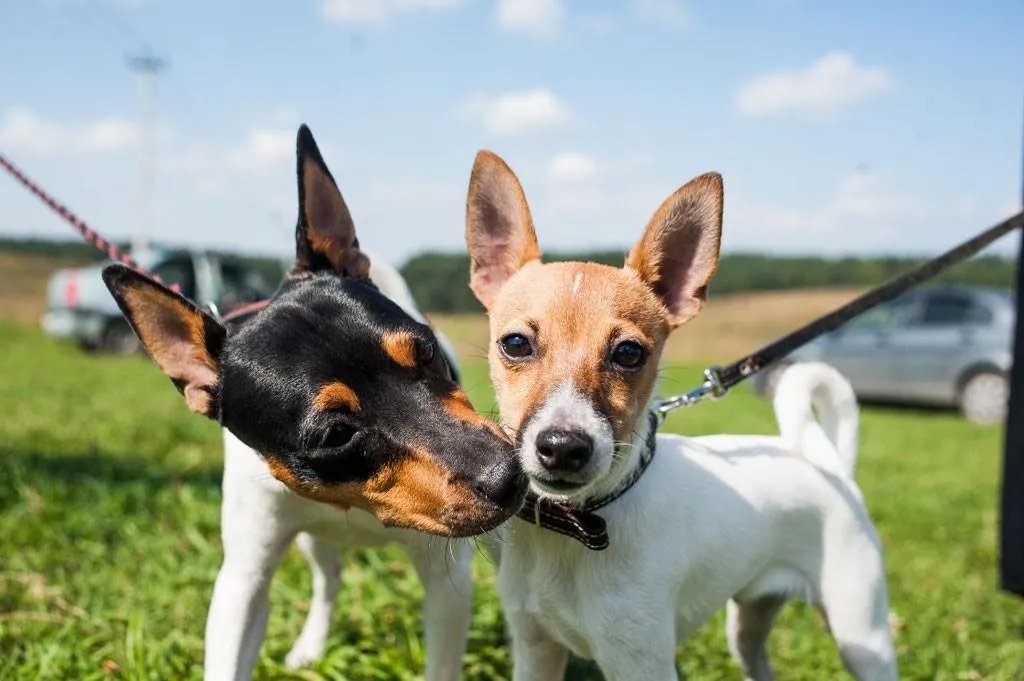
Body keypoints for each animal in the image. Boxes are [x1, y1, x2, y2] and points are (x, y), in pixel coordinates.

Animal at [462, 153, 897, 679]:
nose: (563, 447)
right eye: (516, 344)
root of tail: (826, 464)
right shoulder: (534, 650)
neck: (579, 525)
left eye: (629, 353)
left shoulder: (641, 662)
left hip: (862, 637)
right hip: (746, 631)